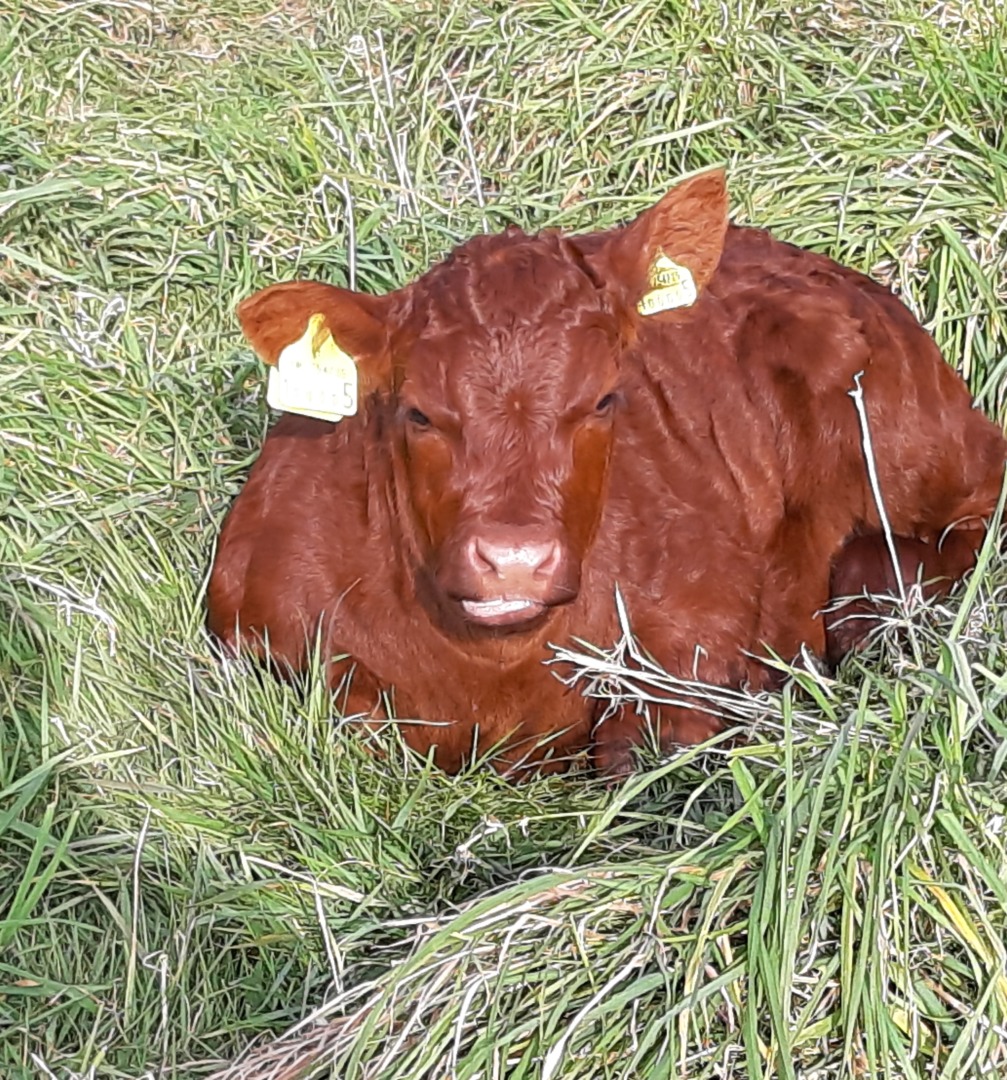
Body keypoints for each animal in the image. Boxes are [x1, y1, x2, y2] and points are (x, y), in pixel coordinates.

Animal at [207, 170, 1006, 776]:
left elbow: (640, 753)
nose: (515, 560)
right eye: (418, 413)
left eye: (602, 397)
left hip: (904, 433)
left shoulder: (699, 621)